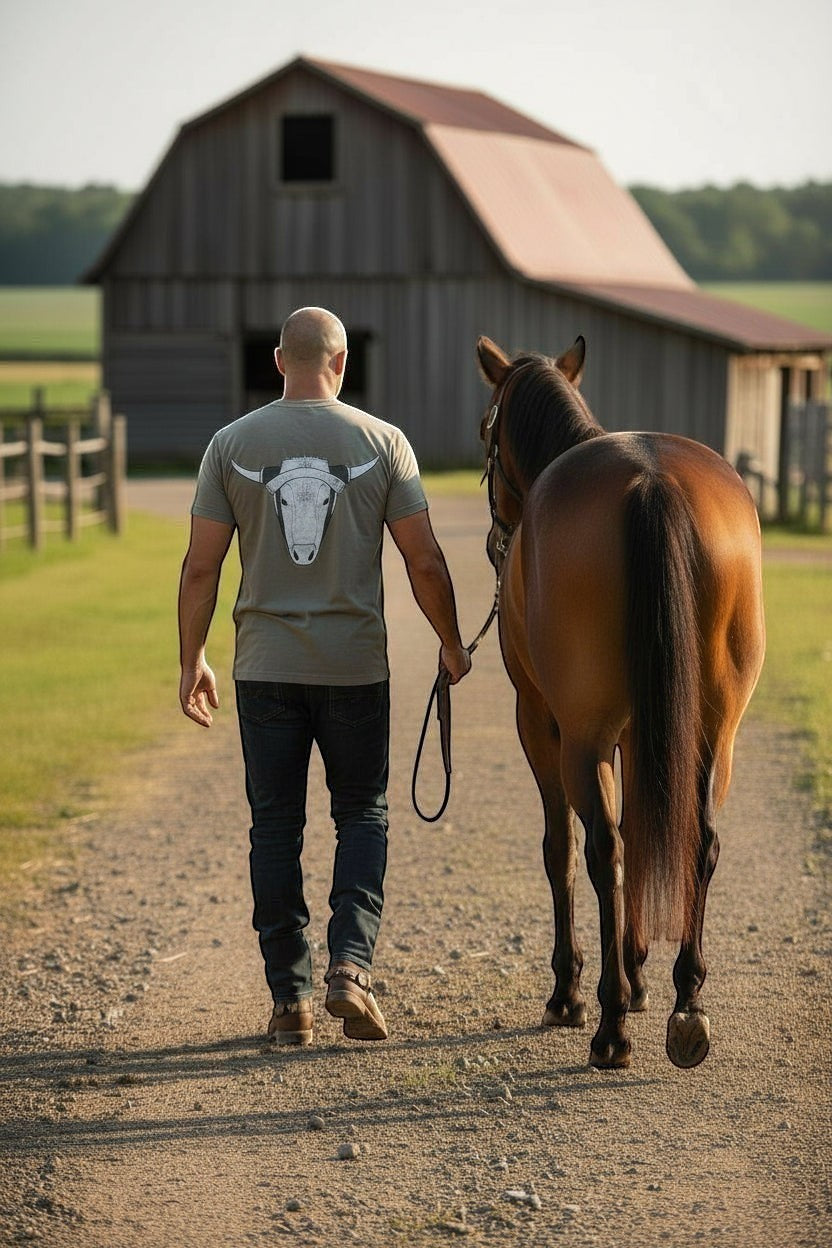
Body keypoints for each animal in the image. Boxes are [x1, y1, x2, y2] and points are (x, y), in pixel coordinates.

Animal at [476, 334, 765, 1070]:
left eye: (487, 430)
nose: (496, 538)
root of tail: (651, 482)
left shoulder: (540, 723)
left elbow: (564, 847)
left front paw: (579, 991)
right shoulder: (643, 731)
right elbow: (644, 830)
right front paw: (635, 974)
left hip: (578, 738)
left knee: (599, 849)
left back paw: (608, 1028)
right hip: (712, 730)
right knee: (698, 840)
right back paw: (687, 1003)